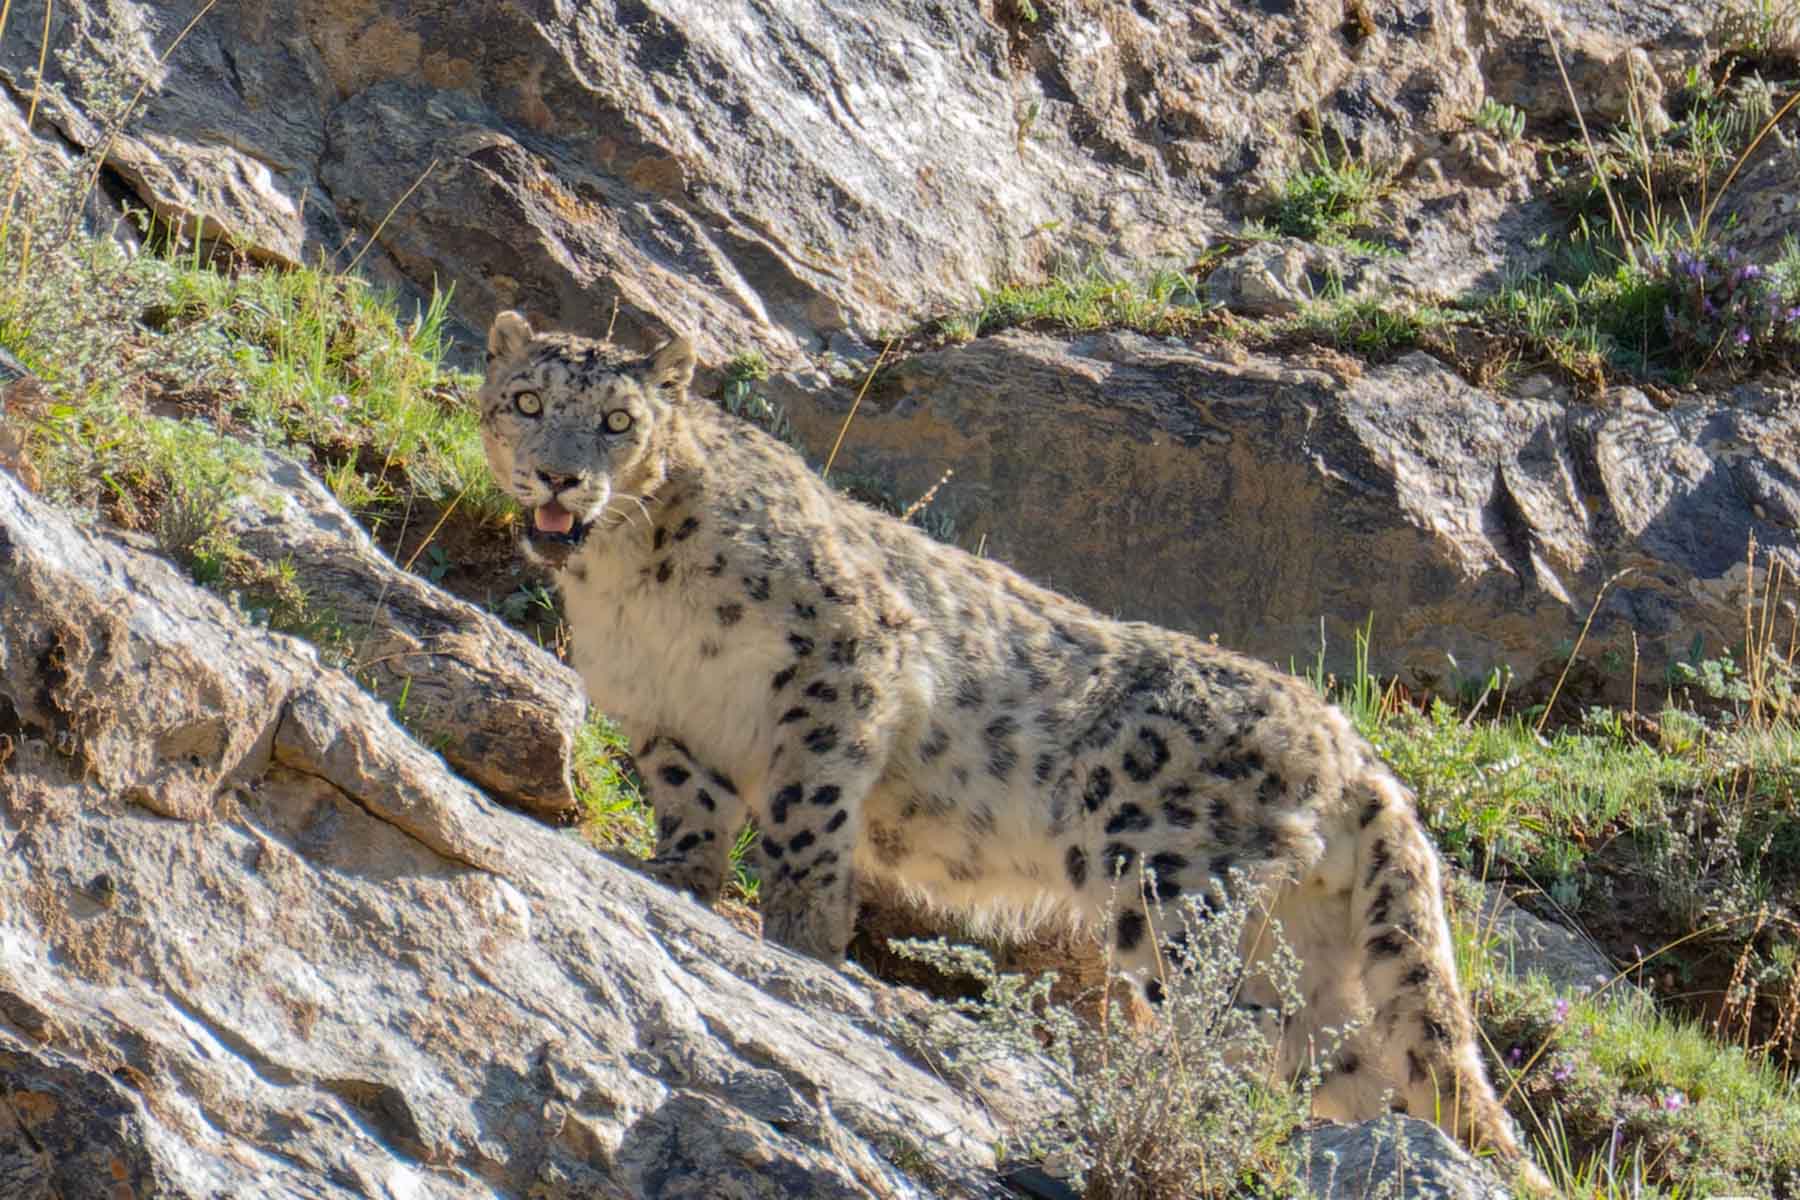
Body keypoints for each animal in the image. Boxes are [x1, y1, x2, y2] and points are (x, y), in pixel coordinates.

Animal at [477, 311, 1548, 1189]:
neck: (631, 583)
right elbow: (693, 807)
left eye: (618, 421)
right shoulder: (662, 717)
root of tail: (1356, 749)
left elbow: (805, 814)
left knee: (1233, 1035)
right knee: (1349, 1060)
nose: (560, 475)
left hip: (1170, 880)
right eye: (527, 402)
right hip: (1305, 944)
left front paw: (798, 934)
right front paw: (683, 879)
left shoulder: (845, 659)